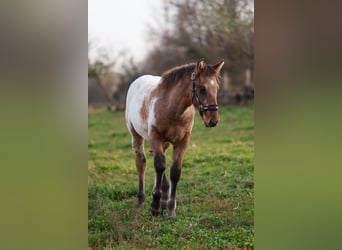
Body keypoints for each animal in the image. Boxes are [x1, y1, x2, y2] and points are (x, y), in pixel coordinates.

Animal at [125, 58, 224, 217]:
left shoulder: (182, 141)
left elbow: (175, 171)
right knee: (142, 163)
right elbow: (159, 166)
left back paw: (164, 199)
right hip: (136, 136)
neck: (173, 110)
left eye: (217, 88)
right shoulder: (155, 138)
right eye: (202, 88)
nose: (213, 121)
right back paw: (140, 202)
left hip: (165, 143)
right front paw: (154, 206)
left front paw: (171, 209)